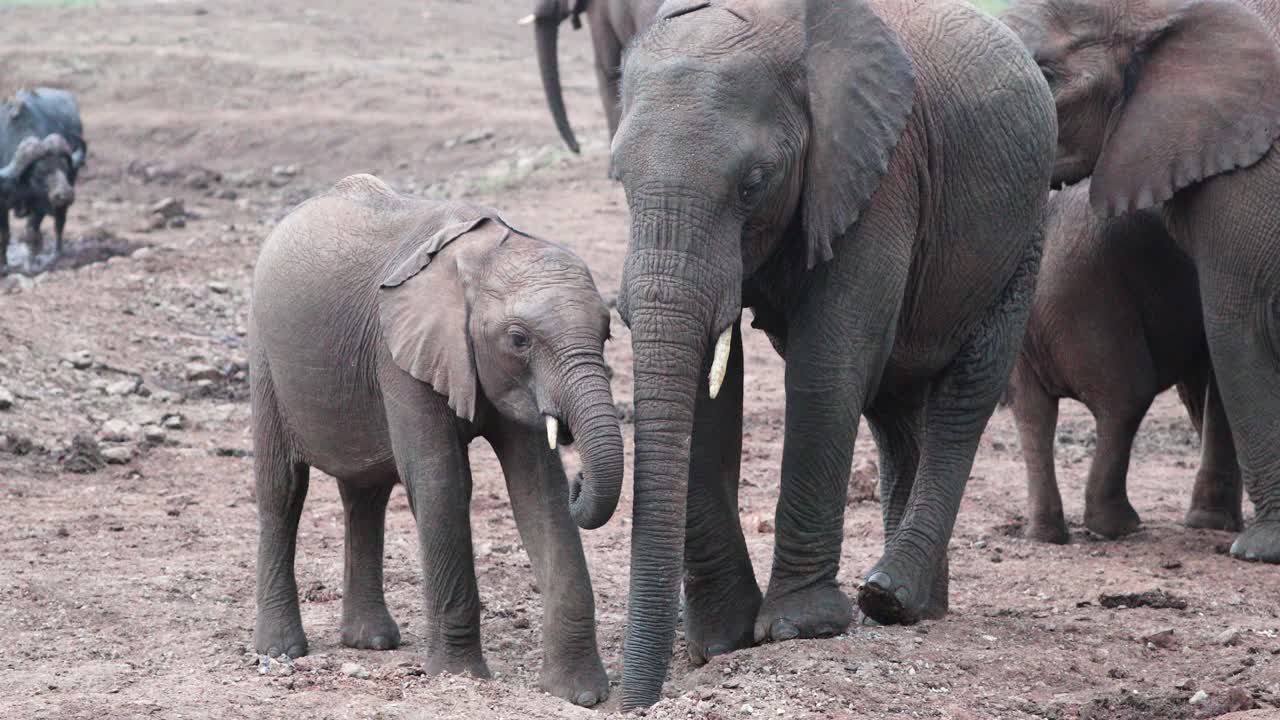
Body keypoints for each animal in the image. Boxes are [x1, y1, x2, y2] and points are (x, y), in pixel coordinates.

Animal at [249, 174, 622, 707]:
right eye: (518, 340)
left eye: (607, 332)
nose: (581, 475)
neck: (478, 256)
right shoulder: (399, 354)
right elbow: (441, 481)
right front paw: (460, 677)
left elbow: (539, 493)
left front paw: (580, 694)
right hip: (265, 358)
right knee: (282, 490)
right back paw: (281, 650)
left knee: (365, 494)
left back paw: (371, 641)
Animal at [608, 0, 1056, 707]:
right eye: (619, 180)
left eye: (753, 184)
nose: (639, 700)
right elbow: (712, 381)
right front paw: (724, 641)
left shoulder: (882, 176)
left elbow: (828, 363)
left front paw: (797, 629)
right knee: (896, 410)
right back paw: (919, 607)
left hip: (1024, 232)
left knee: (965, 395)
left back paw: (891, 596)